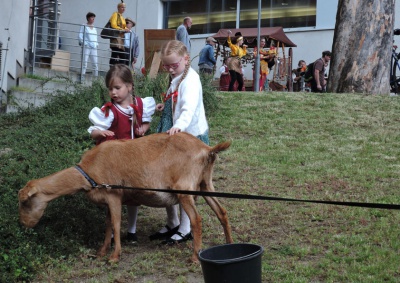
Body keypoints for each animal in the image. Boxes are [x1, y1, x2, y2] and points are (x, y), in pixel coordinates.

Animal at [17, 133, 233, 264]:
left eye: (25, 201)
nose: (24, 224)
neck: (88, 173)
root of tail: (207, 149)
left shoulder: (114, 195)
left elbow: (115, 223)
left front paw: (114, 256)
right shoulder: (106, 200)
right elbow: (107, 225)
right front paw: (101, 251)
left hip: (185, 189)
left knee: (196, 219)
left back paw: (195, 257)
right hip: (205, 184)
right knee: (222, 211)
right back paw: (229, 244)